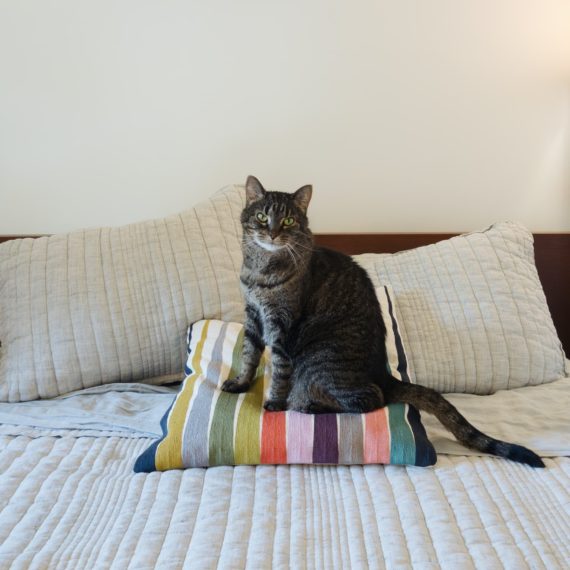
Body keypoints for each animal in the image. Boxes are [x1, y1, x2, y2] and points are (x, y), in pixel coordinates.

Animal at [220, 174, 544, 466]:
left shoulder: (282, 325)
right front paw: (241, 382)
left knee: (369, 400)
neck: (260, 270)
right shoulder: (253, 316)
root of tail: (383, 376)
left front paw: (274, 402)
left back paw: (308, 404)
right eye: (262, 216)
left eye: (287, 221)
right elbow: (249, 354)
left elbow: (279, 367)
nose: (273, 233)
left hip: (319, 360)